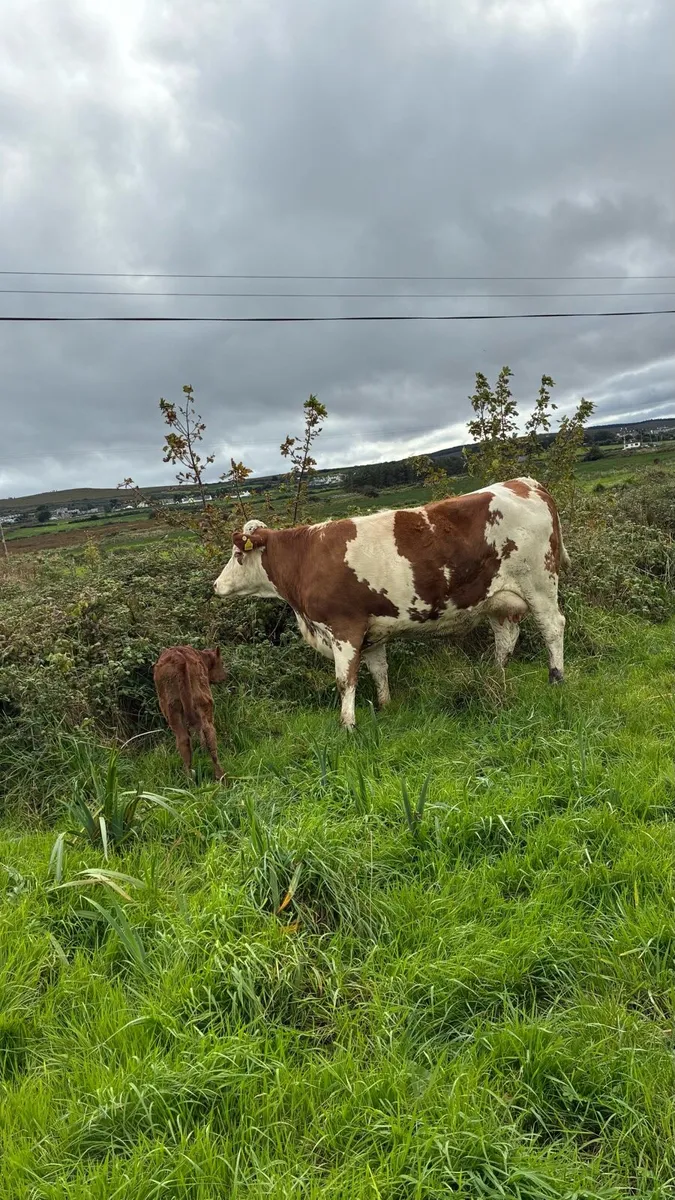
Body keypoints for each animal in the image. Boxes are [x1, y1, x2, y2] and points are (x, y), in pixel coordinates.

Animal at [153, 645, 227, 780]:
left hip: (175, 707)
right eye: (222, 662)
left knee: (190, 738)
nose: (224, 677)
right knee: (200, 735)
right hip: (195, 704)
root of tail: (178, 657)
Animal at [213, 478, 569, 728]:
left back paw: (556, 678)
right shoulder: (372, 631)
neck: (305, 558)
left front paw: (347, 725)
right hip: (499, 599)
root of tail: (525, 482)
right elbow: (379, 670)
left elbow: (345, 679)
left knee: (553, 627)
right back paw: (495, 677)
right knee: (505, 639)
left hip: (539, 582)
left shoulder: (344, 628)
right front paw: (384, 707)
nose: (216, 585)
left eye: (237, 554)